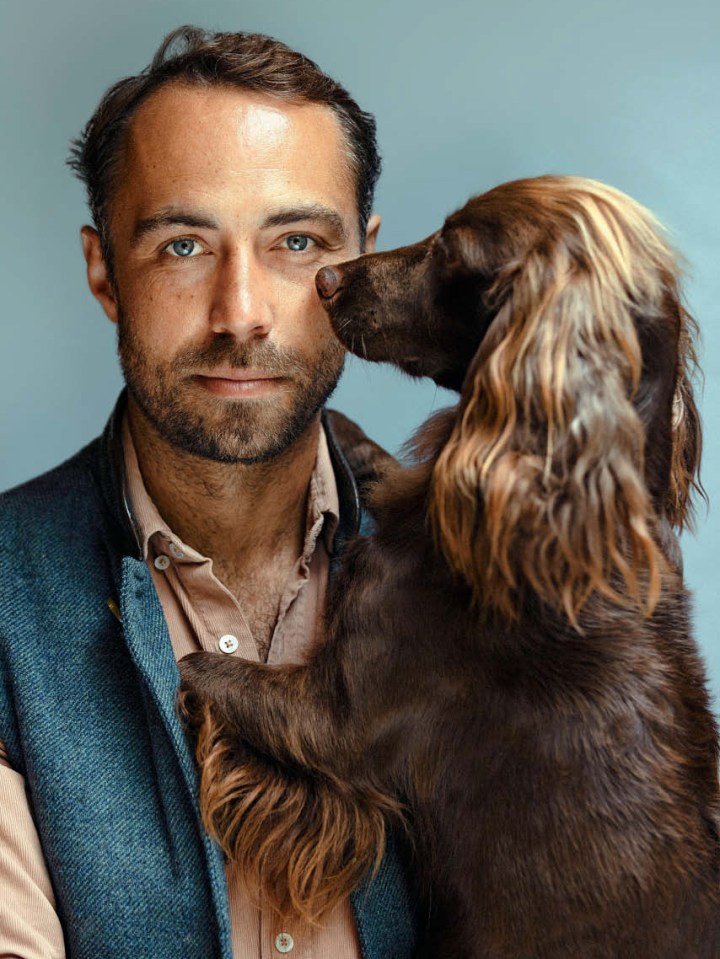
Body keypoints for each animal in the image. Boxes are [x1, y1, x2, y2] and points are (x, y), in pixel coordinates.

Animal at [177, 176, 716, 956]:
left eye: (451, 250)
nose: (325, 280)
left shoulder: (333, 714)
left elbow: (203, 668)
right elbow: (376, 464)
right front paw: (340, 431)